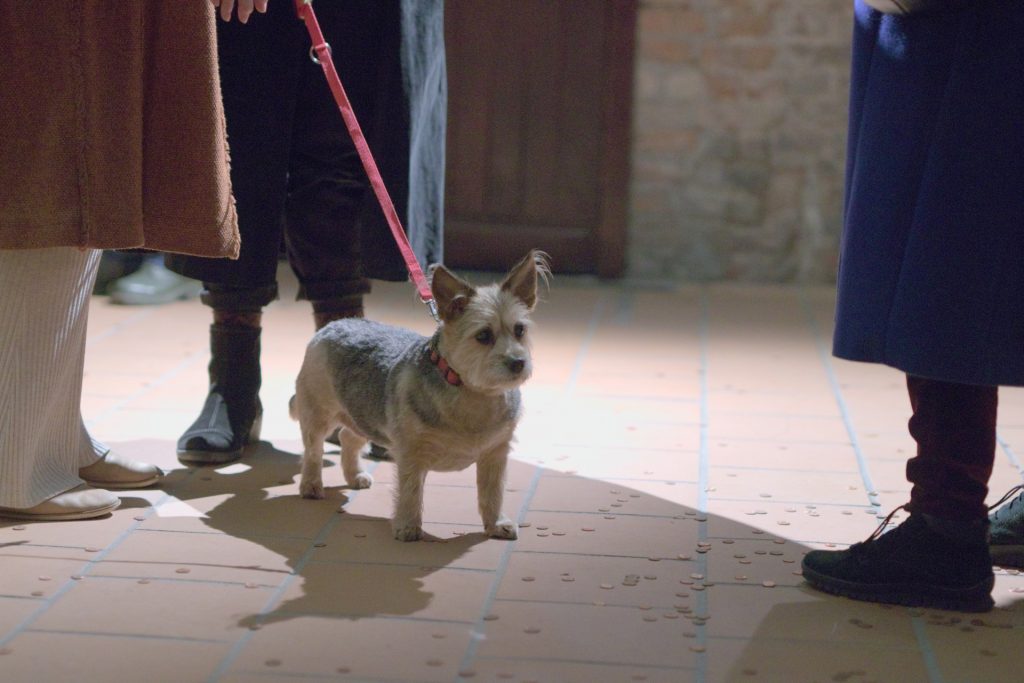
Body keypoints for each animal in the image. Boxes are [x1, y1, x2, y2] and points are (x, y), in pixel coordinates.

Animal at [290, 250, 549, 541]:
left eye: (520, 330)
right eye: (483, 336)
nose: (518, 362)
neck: (472, 390)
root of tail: (332, 326)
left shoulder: (495, 454)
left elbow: (492, 493)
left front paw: (496, 523)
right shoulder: (411, 454)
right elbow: (410, 492)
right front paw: (407, 526)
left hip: (361, 412)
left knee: (349, 437)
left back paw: (354, 474)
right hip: (318, 414)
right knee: (313, 449)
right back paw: (311, 484)